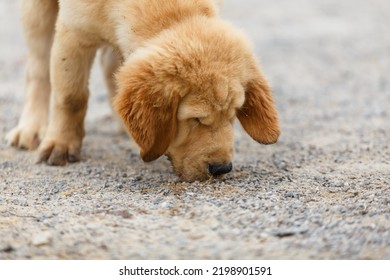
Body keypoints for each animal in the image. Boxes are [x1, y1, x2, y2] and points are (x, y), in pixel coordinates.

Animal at [6, 0, 280, 182]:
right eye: (195, 119)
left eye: (233, 115)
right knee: (38, 66)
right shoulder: (73, 32)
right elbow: (71, 97)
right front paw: (60, 144)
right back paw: (31, 128)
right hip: (37, 13)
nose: (222, 169)